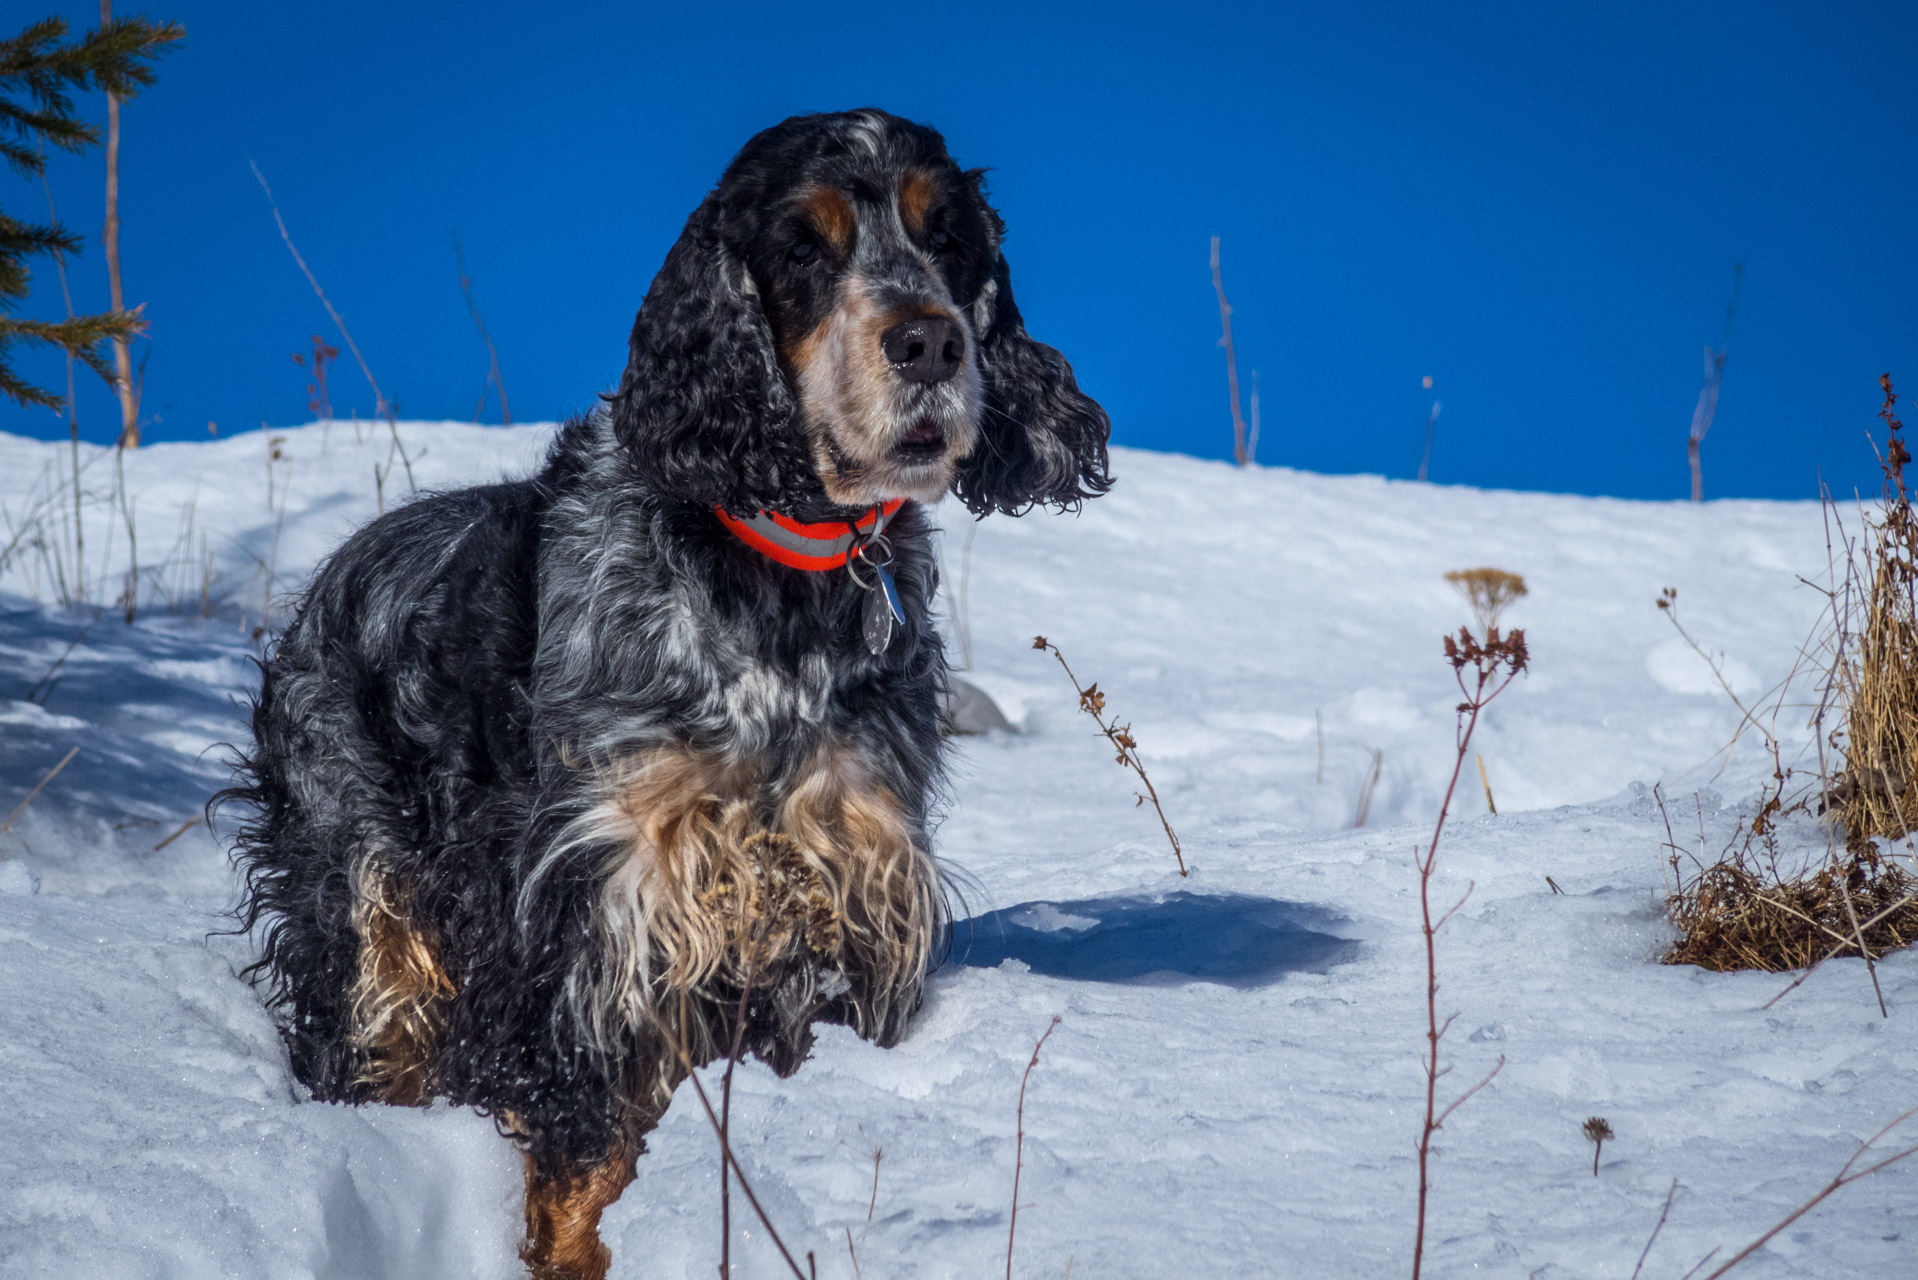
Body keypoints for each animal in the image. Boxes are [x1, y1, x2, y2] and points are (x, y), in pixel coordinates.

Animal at [220, 112, 1112, 1280]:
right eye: (801, 248)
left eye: (949, 234)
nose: (929, 344)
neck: (780, 577)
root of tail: (330, 576)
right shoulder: (609, 901)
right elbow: (586, 1143)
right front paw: (575, 1249)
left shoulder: (847, 882)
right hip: (364, 895)